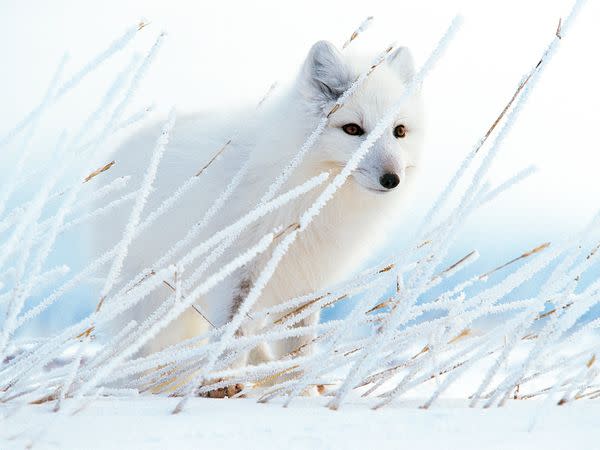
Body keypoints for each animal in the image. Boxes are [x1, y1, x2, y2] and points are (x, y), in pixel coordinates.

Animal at [91, 39, 424, 370]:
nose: (392, 179)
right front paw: (223, 381)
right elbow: (230, 346)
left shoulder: (303, 285)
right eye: (353, 129)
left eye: (399, 131)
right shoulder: (235, 278)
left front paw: (292, 379)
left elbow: (297, 348)